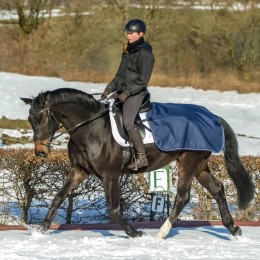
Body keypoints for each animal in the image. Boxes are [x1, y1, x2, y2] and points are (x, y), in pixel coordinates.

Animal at [20, 88, 254, 239]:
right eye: (30, 120)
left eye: (42, 119)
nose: (40, 152)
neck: (90, 128)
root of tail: (213, 116)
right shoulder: (79, 171)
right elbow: (58, 197)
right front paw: (41, 229)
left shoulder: (110, 175)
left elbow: (114, 209)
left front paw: (135, 232)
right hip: (199, 165)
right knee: (218, 189)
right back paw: (233, 229)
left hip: (189, 161)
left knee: (182, 197)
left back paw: (162, 232)